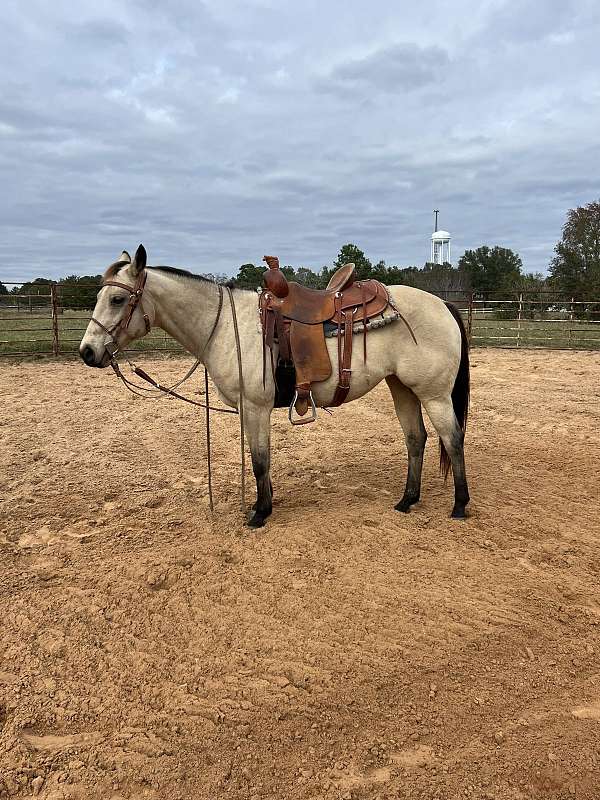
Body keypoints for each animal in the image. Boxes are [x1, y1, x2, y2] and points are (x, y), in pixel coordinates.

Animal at [79, 245, 472, 532]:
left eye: (117, 300)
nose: (87, 352)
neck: (226, 326)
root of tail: (442, 303)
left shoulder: (256, 406)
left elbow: (259, 460)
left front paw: (260, 513)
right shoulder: (247, 410)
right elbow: (258, 458)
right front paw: (260, 504)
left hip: (433, 394)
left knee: (452, 438)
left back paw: (460, 504)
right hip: (402, 387)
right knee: (416, 438)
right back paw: (407, 501)